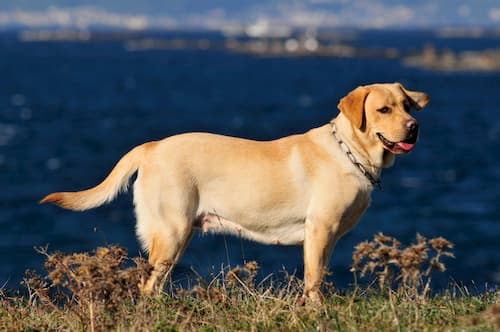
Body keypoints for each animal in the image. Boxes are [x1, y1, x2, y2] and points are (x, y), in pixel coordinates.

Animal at [40, 81, 430, 300]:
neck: (348, 150)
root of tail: (151, 146)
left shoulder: (327, 238)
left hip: (177, 237)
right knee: (148, 286)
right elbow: (314, 280)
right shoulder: (319, 230)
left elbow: (317, 276)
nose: (414, 127)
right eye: (383, 109)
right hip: (171, 232)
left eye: (406, 106)